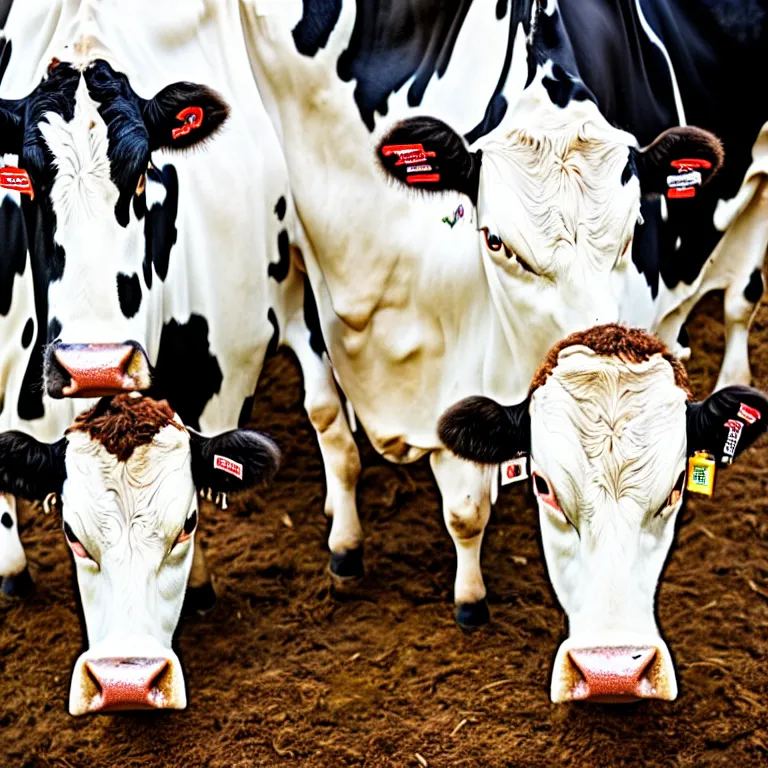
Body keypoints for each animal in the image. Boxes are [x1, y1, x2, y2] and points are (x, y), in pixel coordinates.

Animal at [238, 0, 744, 624]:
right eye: (496, 241)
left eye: (634, 231)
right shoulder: (307, 261)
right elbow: (328, 416)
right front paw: (345, 543)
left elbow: (467, 499)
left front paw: (470, 598)